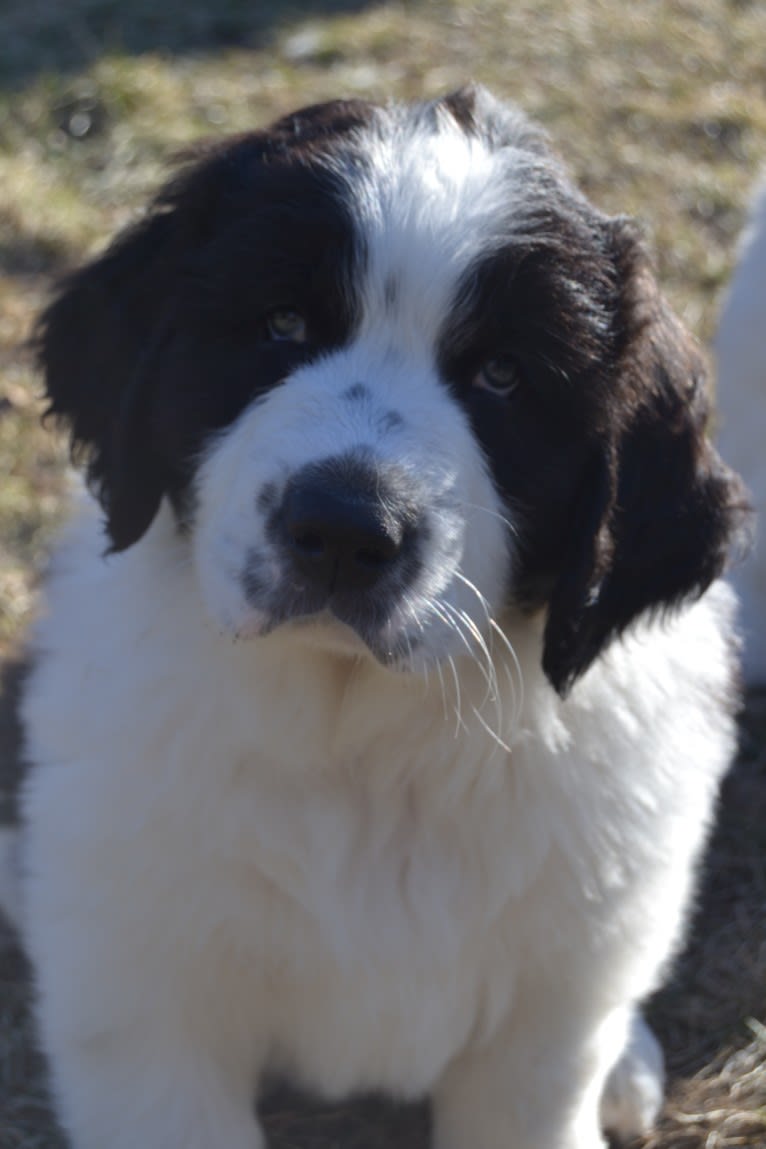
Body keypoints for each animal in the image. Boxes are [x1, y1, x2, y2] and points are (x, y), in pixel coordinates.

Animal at [10, 89, 748, 1149]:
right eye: (281, 324)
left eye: (503, 378)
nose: (342, 529)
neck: (359, 740)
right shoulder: (144, 996)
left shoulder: (547, 1017)